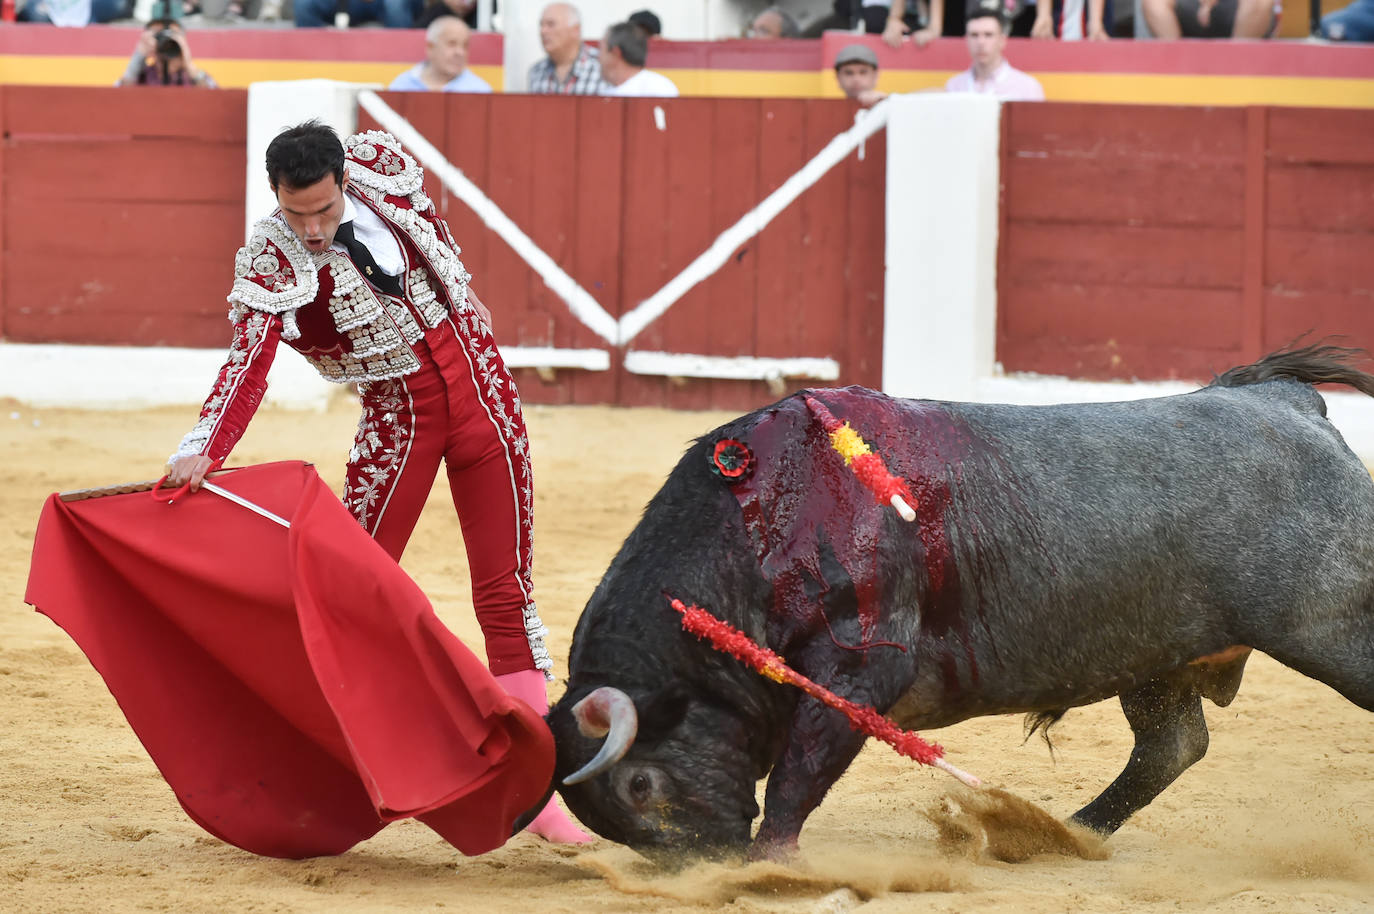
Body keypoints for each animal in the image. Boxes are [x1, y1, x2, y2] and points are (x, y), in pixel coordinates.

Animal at [541, 343, 1374, 857]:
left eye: (640, 783)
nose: (702, 867)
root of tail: (1286, 402)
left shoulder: (861, 672)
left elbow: (797, 777)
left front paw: (769, 864)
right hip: (1154, 654)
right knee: (1172, 746)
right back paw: (1063, 835)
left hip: (1332, 629)